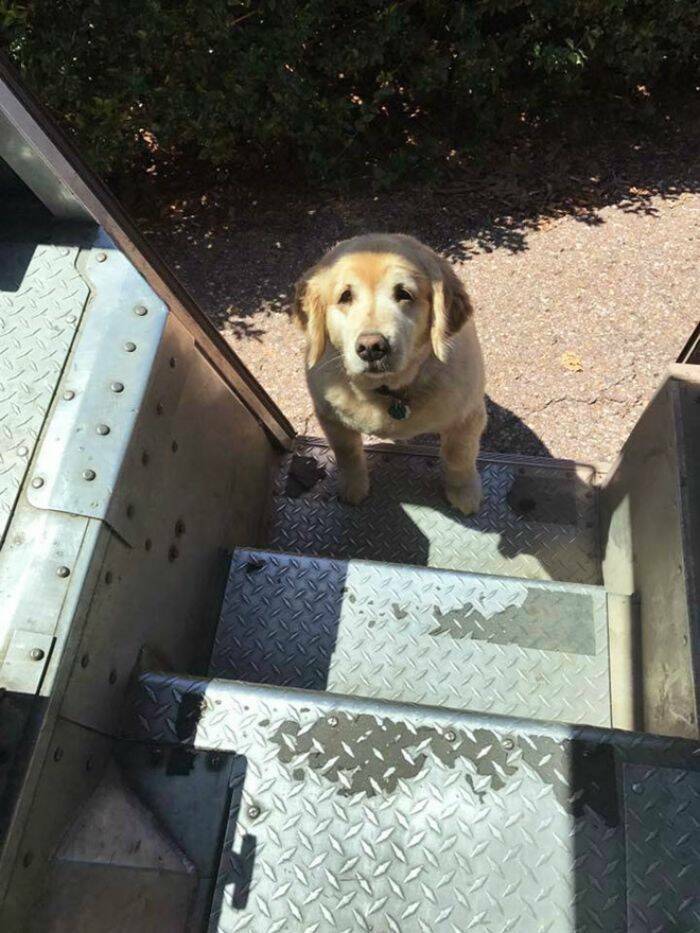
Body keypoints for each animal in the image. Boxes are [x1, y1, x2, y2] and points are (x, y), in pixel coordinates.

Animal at [294, 231, 486, 510]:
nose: (371, 348)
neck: (388, 390)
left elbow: (458, 457)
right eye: (345, 296)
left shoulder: (467, 416)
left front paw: (464, 493)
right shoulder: (330, 416)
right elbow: (346, 453)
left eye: (404, 293)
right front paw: (353, 486)